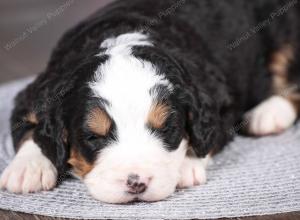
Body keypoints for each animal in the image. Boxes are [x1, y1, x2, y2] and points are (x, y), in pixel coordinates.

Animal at [0, 0, 300, 204]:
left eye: (166, 129)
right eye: (93, 137)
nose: (137, 183)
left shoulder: (220, 100)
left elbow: (207, 138)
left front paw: (186, 166)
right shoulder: (35, 92)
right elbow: (32, 130)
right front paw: (28, 169)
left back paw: (268, 113)